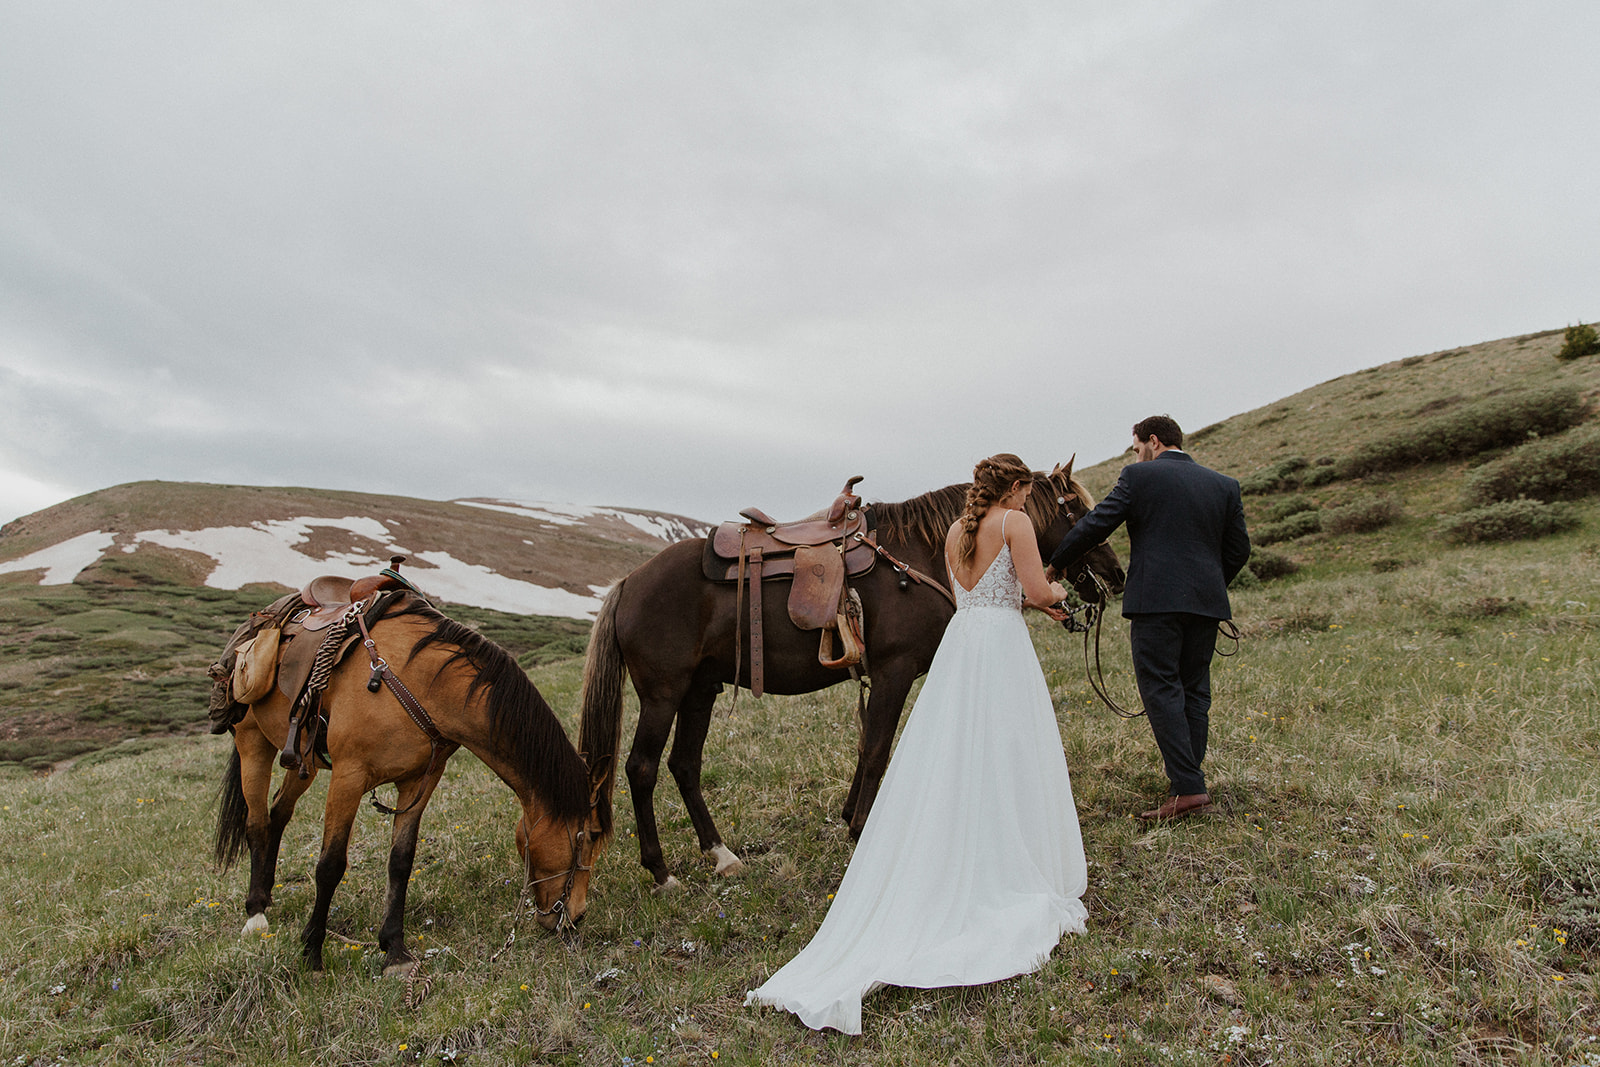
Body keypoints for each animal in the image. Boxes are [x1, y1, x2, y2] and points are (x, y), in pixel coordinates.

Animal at [212, 598, 611, 972]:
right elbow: (330, 865)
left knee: (278, 814)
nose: (576, 917)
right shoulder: (348, 776)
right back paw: (255, 913)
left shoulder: (421, 781)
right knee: (257, 823)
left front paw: (394, 949)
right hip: (253, 744)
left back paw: (267, 896)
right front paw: (311, 953)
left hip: (301, 761)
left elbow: (400, 861)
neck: (420, 683)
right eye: (590, 836)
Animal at [579, 463, 1126, 889]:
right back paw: (661, 872)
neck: (923, 555)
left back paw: (721, 855)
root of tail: (628, 583)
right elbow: (878, 747)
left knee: (684, 766)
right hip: (663, 694)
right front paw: (862, 827)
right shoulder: (894, 672)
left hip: (700, 691)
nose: (1116, 577)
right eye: (1080, 511)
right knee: (642, 769)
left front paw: (849, 818)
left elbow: (865, 746)